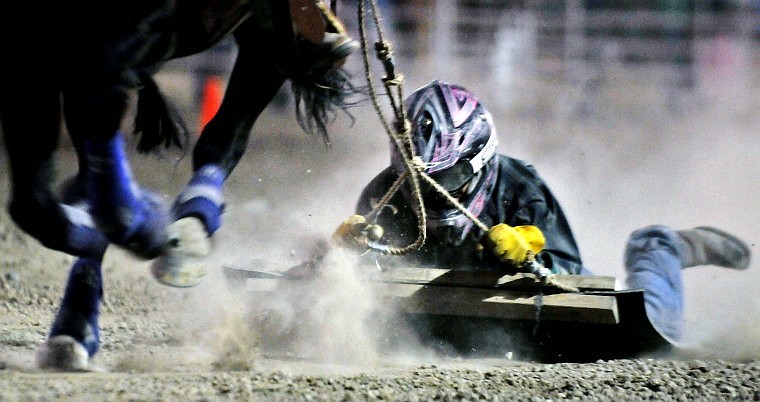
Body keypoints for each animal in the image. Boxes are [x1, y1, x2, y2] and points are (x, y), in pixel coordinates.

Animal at [0, 0, 362, 370]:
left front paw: (147, 226)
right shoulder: (39, 53)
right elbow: (38, 205)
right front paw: (76, 326)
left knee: (226, 131)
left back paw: (189, 228)